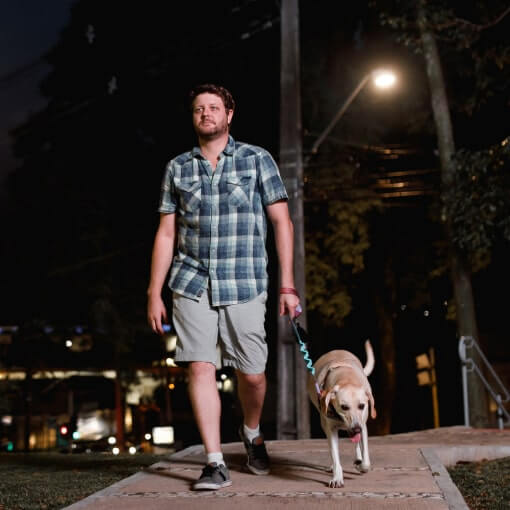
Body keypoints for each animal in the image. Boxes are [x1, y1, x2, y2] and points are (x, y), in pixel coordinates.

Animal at [306, 340, 374, 488]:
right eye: (344, 407)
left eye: (362, 406)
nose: (356, 428)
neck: (346, 378)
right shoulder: (330, 429)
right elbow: (335, 456)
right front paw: (337, 477)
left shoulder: (363, 424)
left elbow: (366, 460)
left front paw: (361, 465)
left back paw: (358, 459)